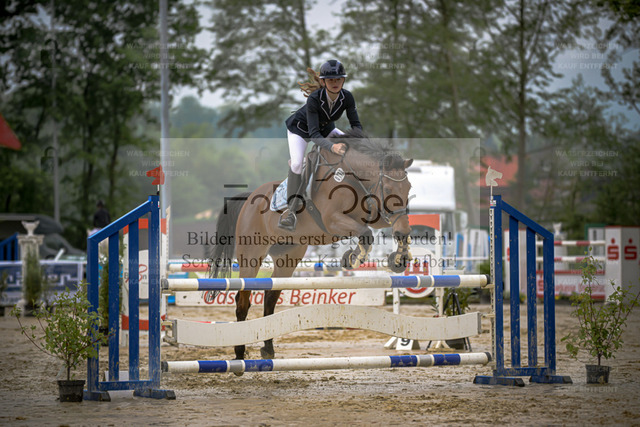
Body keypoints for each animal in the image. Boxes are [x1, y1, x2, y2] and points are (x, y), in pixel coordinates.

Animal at [208, 129, 414, 364]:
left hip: (287, 257)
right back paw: (239, 352)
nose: (401, 230)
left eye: (408, 188)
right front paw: (352, 258)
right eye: (388, 188)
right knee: (243, 300)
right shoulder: (333, 220)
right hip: (252, 255)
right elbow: (365, 234)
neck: (352, 178)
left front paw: (399, 258)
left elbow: (380, 228)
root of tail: (249, 198)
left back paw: (267, 349)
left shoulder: (376, 215)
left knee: (270, 297)